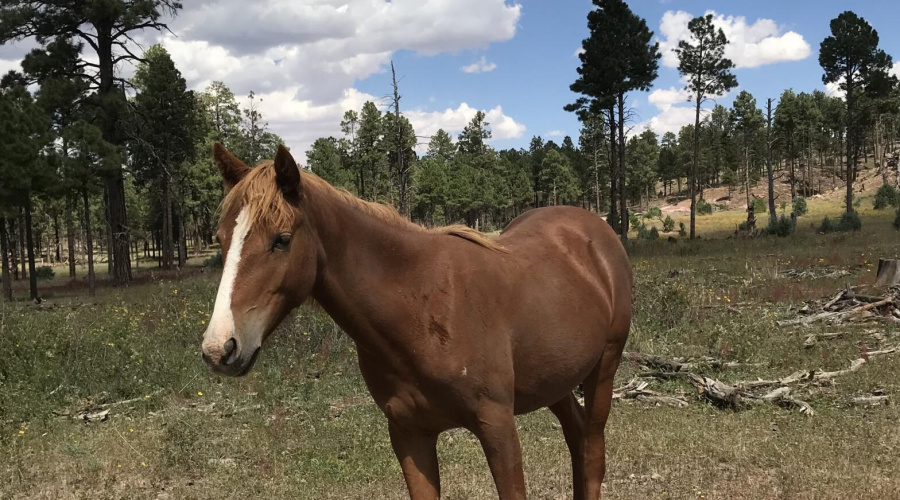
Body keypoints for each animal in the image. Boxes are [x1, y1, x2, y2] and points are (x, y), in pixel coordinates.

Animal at [201, 143, 633, 500]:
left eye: (282, 239)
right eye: (220, 238)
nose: (219, 348)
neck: (421, 307)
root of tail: (595, 229)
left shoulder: (498, 427)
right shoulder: (409, 434)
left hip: (604, 369)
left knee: (592, 453)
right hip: (555, 381)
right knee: (577, 438)